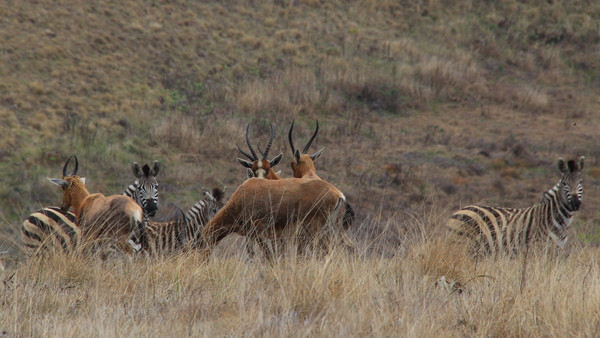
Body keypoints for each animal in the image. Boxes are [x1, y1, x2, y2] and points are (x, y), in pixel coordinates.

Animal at [448, 156, 584, 256]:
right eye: (564, 183)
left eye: (580, 182)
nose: (575, 203)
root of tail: (458, 211)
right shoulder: (537, 250)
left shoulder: (556, 251)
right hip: (461, 244)